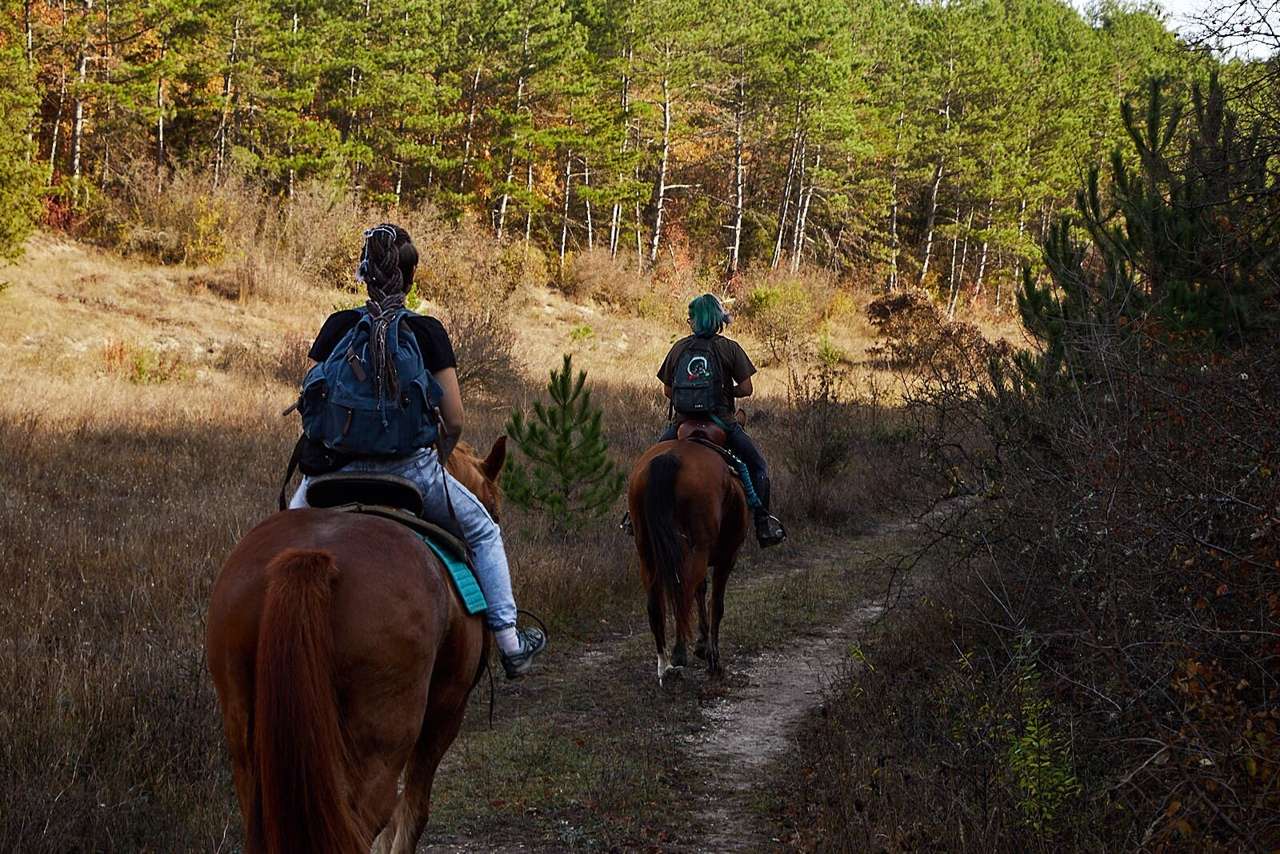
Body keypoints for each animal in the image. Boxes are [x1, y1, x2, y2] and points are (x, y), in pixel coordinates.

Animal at [207, 437, 506, 850]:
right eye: (493, 509)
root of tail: (311, 558)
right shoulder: (446, 712)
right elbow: (411, 815)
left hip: (245, 735)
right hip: (381, 740)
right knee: (366, 821)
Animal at [624, 430, 747, 686]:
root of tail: (671, 458)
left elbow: (701, 592)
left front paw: (702, 646)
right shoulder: (727, 557)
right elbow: (716, 604)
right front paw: (713, 660)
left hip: (646, 551)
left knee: (656, 605)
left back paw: (663, 666)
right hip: (697, 549)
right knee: (683, 593)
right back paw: (679, 655)